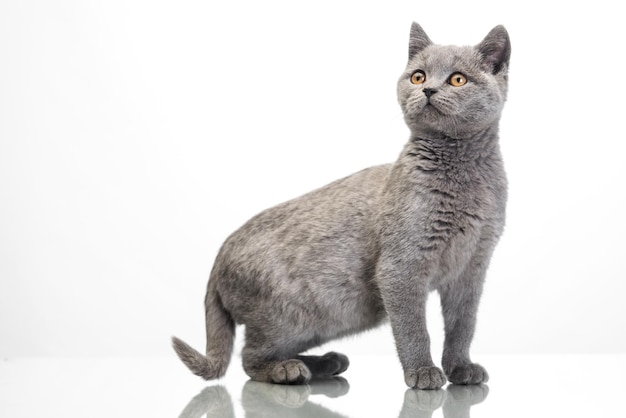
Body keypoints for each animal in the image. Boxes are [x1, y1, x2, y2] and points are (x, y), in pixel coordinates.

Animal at [171, 22, 508, 388]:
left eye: (458, 79)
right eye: (418, 76)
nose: (428, 90)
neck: (466, 175)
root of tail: (219, 258)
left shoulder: (472, 267)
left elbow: (463, 325)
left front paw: (461, 368)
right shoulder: (400, 268)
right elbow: (414, 328)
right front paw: (422, 372)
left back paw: (326, 363)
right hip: (292, 316)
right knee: (249, 358)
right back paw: (289, 371)